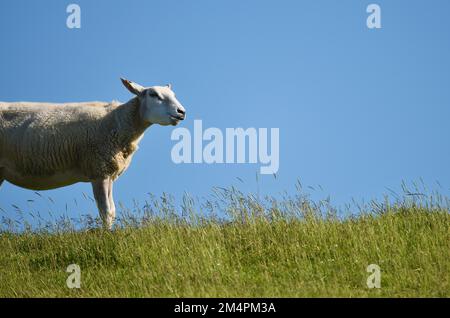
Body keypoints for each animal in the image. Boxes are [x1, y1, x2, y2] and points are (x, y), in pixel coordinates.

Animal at [0, 78, 186, 230]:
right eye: (154, 94)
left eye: (173, 94)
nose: (181, 112)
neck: (117, 122)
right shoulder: (99, 170)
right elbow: (106, 212)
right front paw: (106, 236)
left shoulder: (109, 173)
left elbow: (112, 211)